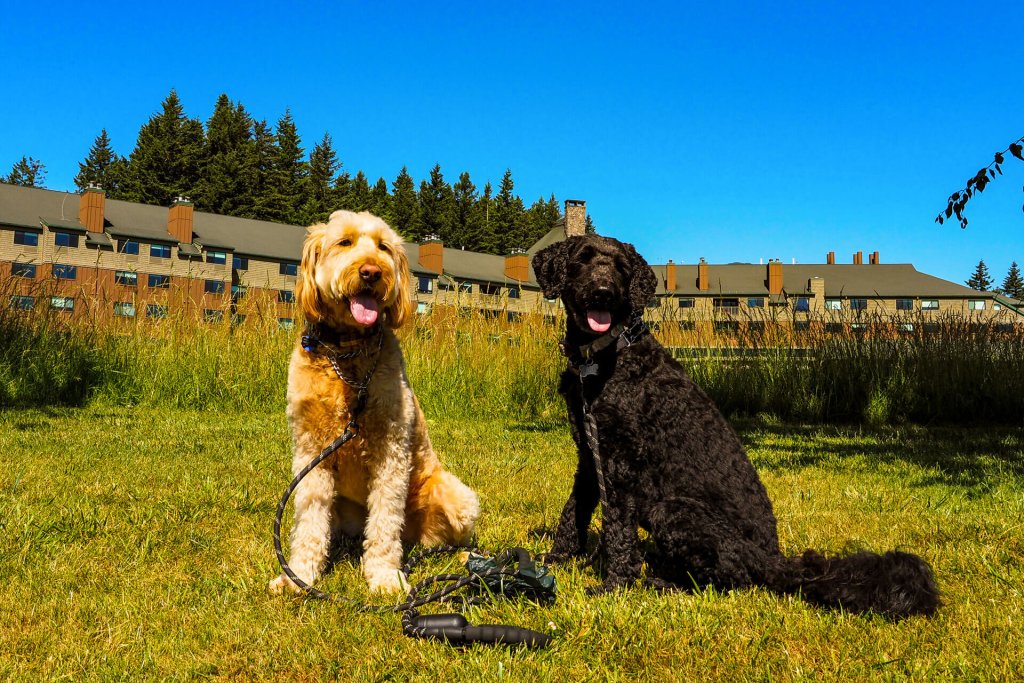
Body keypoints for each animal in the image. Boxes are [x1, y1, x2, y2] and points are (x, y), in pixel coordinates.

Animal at [270, 208, 481, 593]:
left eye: (384, 247)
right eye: (345, 242)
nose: (372, 272)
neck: (347, 354)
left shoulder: (391, 447)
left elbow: (385, 518)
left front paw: (384, 576)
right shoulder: (310, 452)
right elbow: (308, 518)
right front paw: (300, 575)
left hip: (457, 498)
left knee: (444, 541)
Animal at [532, 236, 937, 618]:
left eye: (620, 267)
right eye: (582, 260)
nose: (603, 291)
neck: (604, 357)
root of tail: (774, 559)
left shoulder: (621, 467)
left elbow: (618, 530)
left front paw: (613, 585)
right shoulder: (591, 456)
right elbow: (573, 511)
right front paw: (556, 560)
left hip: (674, 511)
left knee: (730, 580)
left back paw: (662, 584)